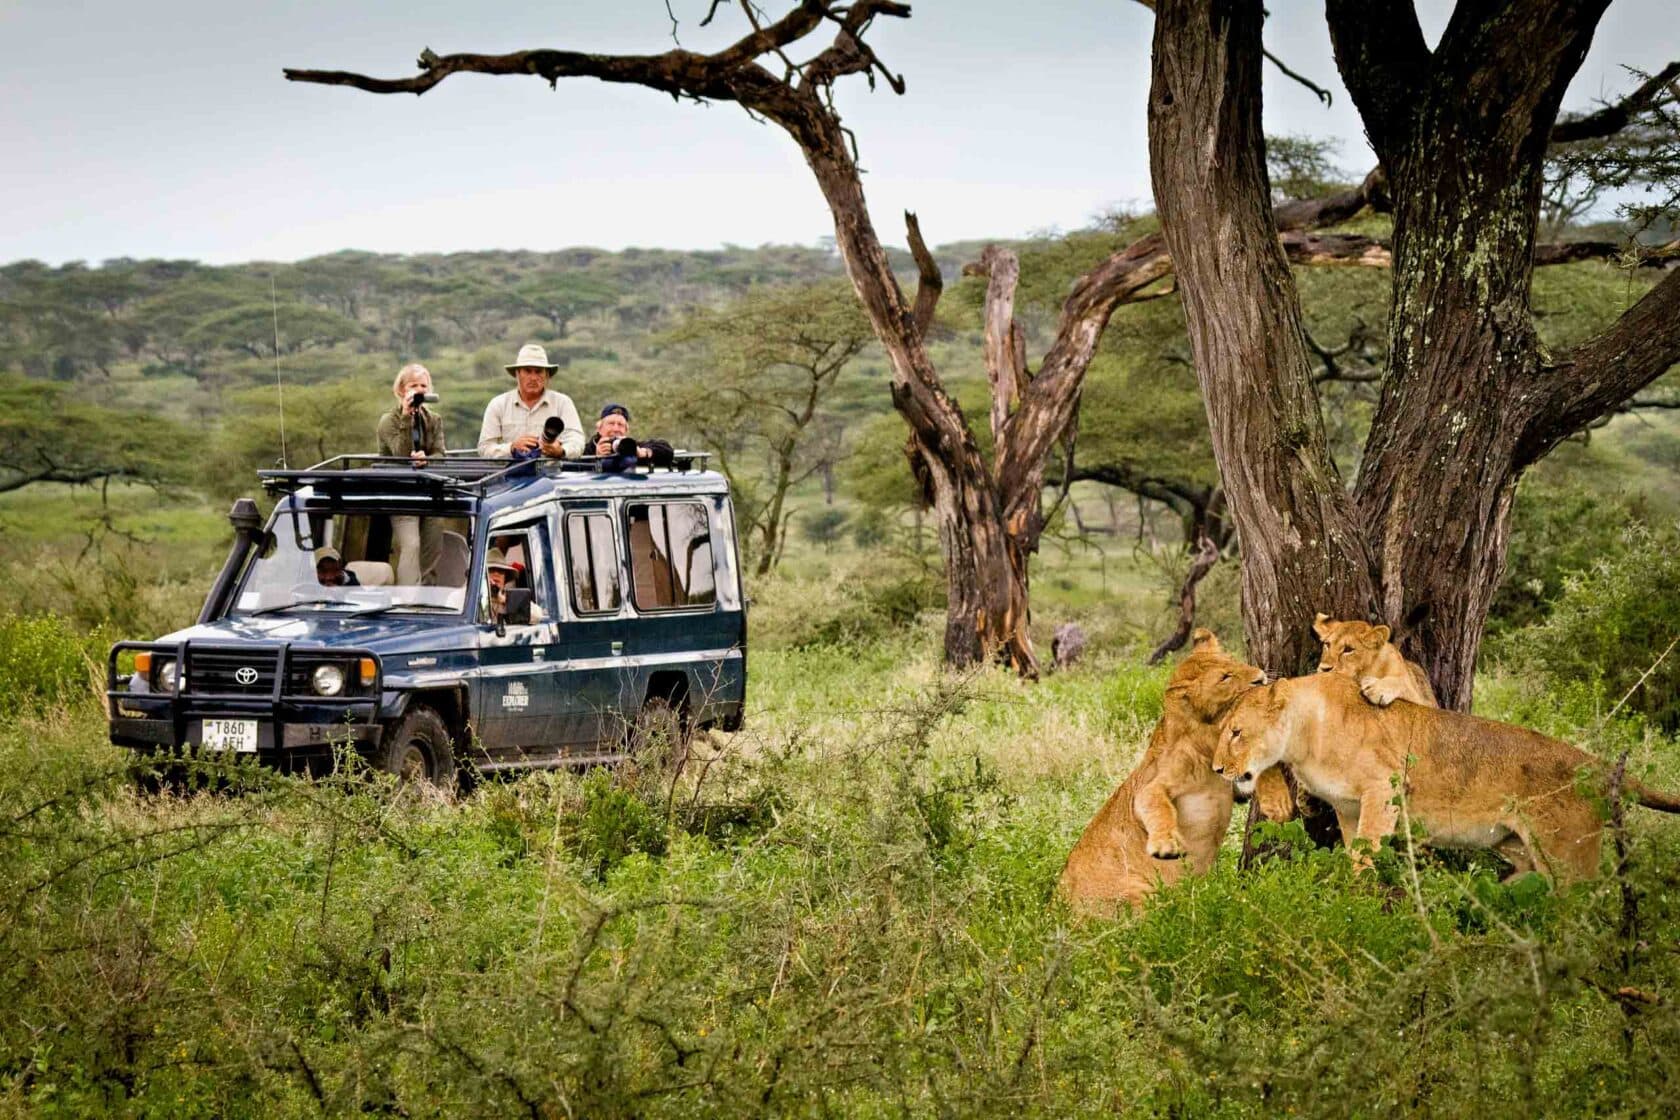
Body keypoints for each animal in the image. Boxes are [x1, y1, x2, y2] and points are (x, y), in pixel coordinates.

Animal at [1057, 630, 1292, 915]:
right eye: (1225, 678)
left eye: (1234, 661)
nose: (1260, 677)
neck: (1209, 736)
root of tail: (1053, 906)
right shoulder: (1153, 784)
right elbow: (1156, 804)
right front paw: (1166, 845)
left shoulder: (1234, 783)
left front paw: (1278, 801)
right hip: (1137, 892)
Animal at [1212, 673, 1680, 882]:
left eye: (1235, 732)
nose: (1217, 770)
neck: (1304, 736)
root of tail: (1592, 764)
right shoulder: (1348, 809)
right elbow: (1352, 847)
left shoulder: (1384, 789)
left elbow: (1365, 856)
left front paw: (1355, 897)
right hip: (1520, 848)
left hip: (1568, 855)